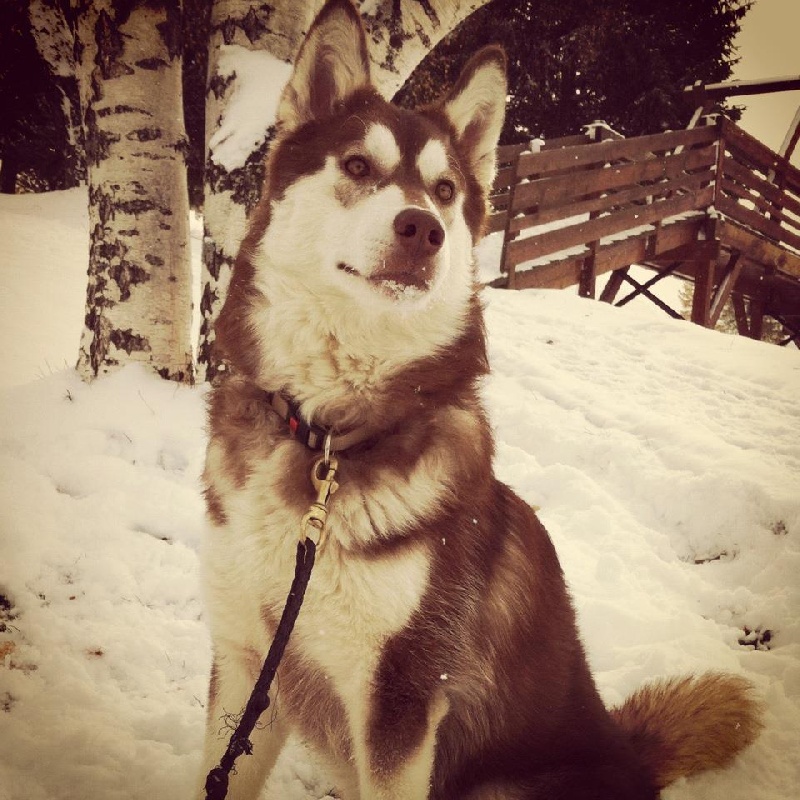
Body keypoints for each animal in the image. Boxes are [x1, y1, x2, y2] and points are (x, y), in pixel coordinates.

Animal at [198, 1, 763, 797]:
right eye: (358, 167)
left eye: (443, 191)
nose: (422, 229)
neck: (326, 436)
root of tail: (631, 756)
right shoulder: (249, 660)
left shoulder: (401, 699)